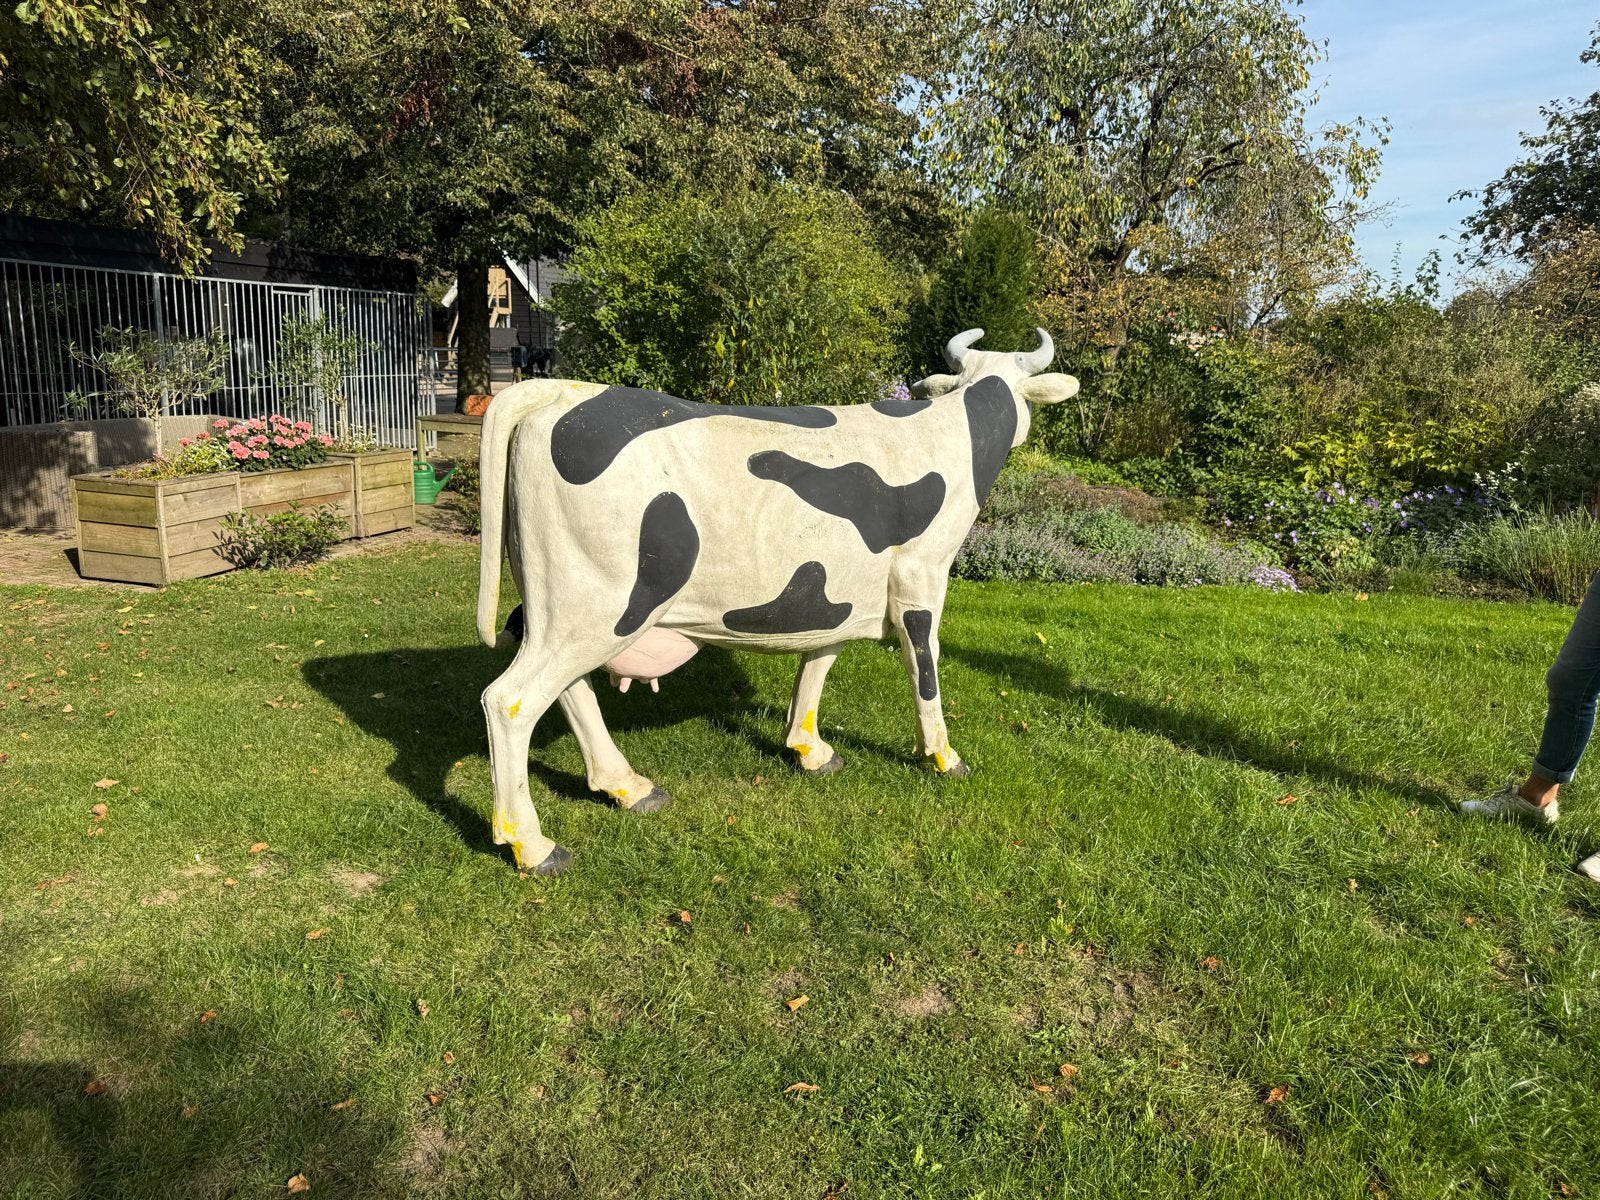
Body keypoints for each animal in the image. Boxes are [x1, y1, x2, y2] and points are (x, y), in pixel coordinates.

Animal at [475, 328, 1080, 875]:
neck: (957, 428)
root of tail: (560, 391)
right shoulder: (921, 575)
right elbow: (924, 667)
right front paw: (943, 756)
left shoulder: (839, 590)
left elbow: (819, 660)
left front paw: (807, 748)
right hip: (597, 606)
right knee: (510, 701)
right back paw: (535, 847)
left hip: (566, 608)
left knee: (569, 691)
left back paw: (627, 787)